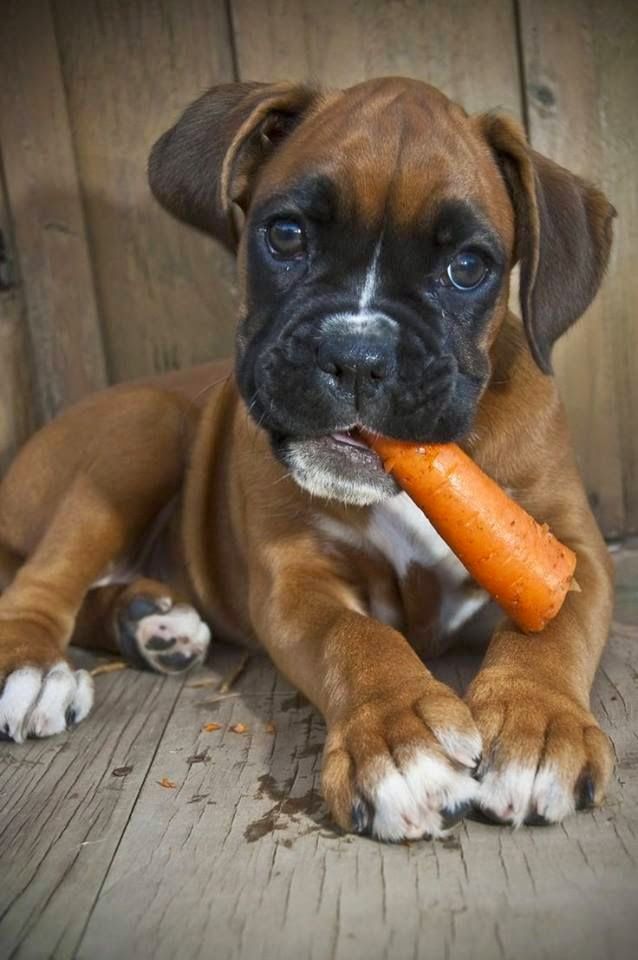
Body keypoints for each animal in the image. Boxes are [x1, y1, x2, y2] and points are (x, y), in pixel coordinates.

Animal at [1, 77, 620, 840]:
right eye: (287, 234)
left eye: (468, 268)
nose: (357, 354)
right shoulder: (295, 576)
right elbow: (353, 635)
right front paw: (399, 739)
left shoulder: (568, 553)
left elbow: (550, 631)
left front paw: (537, 725)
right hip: (140, 429)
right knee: (38, 586)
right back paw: (34, 671)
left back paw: (149, 620)